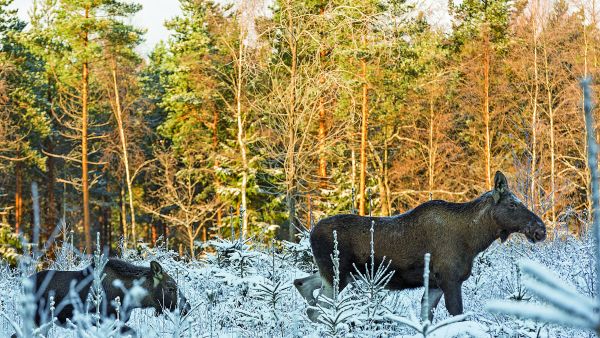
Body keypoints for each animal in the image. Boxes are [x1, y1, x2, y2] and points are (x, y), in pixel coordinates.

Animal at [11, 258, 190, 336]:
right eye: (171, 288)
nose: (186, 308)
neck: (133, 300)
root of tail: (22, 286)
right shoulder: (105, 320)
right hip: (37, 319)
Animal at [296, 172, 548, 320]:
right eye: (513, 205)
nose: (541, 229)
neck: (474, 240)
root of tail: (311, 234)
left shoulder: (434, 284)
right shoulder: (449, 279)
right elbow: (458, 316)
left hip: (340, 274)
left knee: (302, 285)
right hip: (337, 274)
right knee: (319, 309)